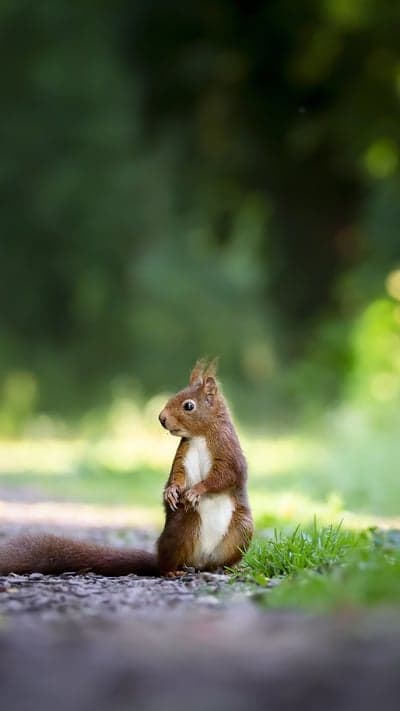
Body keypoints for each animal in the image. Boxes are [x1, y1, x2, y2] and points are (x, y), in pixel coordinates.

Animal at [0, 359, 253, 577]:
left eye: (188, 406)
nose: (161, 418)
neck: (200, 436)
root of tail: (198, 562)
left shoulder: (228, 451)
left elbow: (225, 476)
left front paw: (196, 490)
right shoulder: (183, 454)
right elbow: (178, 475)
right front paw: (171, 492)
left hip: (241, 530)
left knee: (219, 560)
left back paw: (226, 568)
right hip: (183, 527)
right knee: (167, 562)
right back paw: (171, 571)